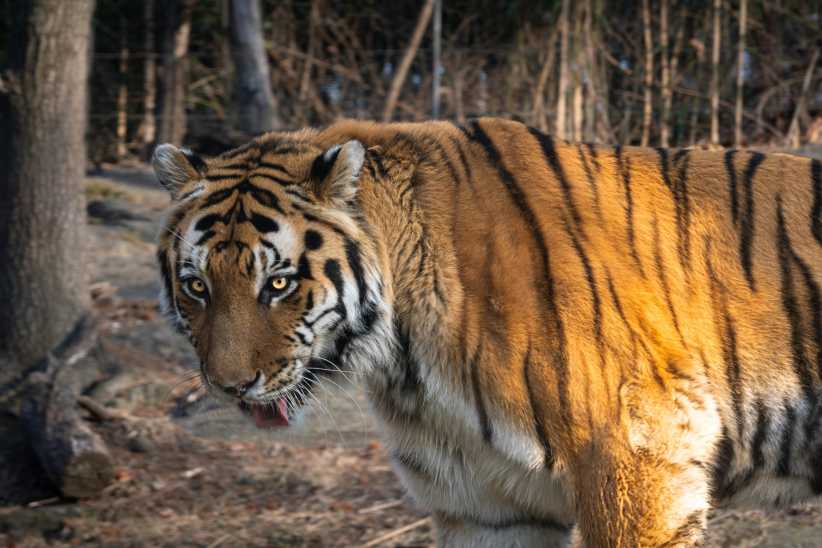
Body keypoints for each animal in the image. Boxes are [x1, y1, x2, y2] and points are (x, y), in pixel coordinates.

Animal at [152, 117, 822, 547]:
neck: (405, 361)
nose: (229, 386)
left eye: (279, 284)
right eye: (197, 286)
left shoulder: (637, 455)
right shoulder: (485, 504)